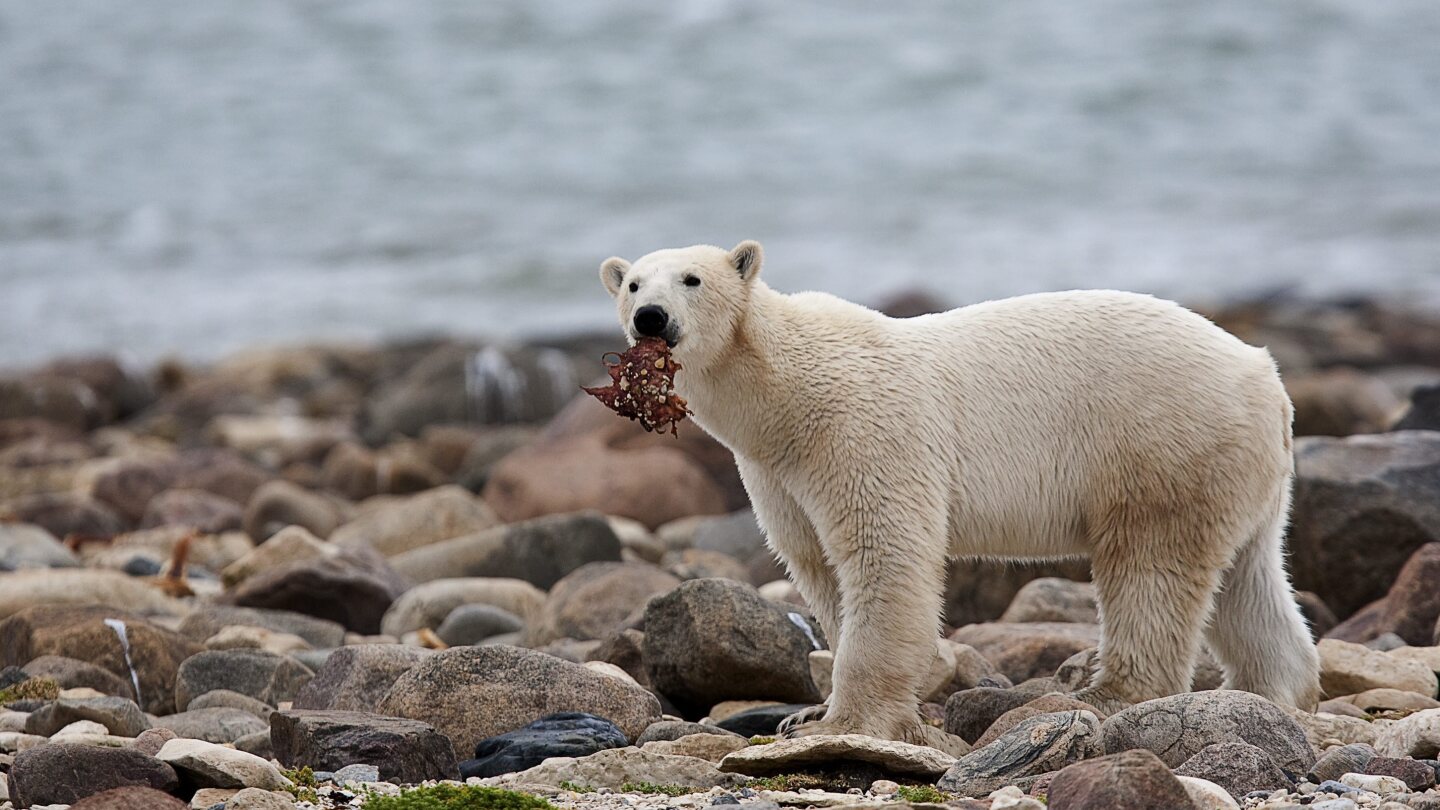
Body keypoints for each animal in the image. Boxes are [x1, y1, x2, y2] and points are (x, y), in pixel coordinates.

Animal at [593, 237, 1319, 743]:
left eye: (691, 278)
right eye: (632, 283)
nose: (651, 317)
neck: (784, 392)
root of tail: (1266, 376)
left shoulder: (861, 430)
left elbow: (884, 553)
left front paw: (845, 720)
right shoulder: (777, 472)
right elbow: (817, 564)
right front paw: (806, 715)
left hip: (1160, 443)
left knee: (1149, 569)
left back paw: (1106, 694)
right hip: (1236, 470)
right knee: (1249, 579)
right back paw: (1273, 692)